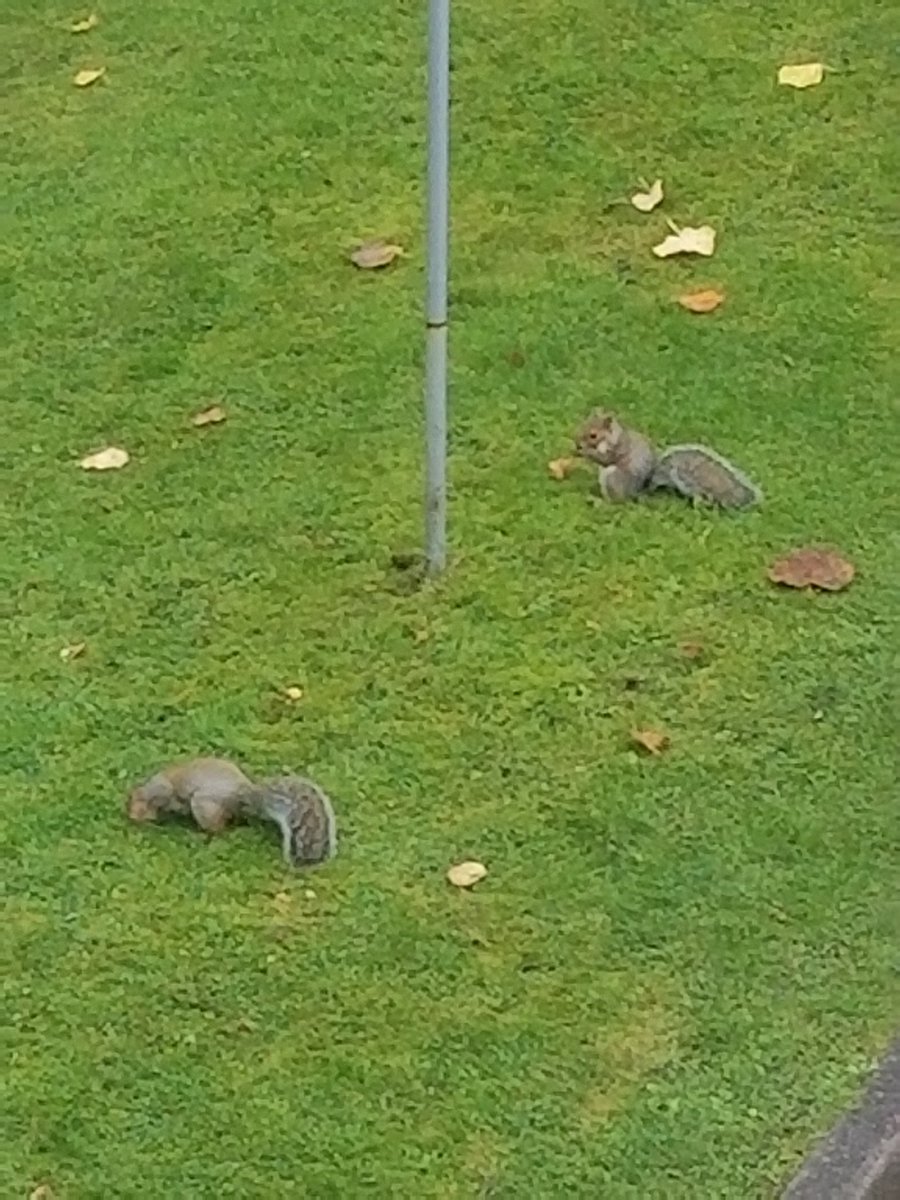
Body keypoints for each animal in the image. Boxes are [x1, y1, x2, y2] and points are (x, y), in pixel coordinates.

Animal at [126, 757, 337, 867]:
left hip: (203, 804)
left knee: (218, 829)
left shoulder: (165, 791)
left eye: (135, 804)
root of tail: (242, 793)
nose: (132, 818)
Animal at [575, 410, 762, 509]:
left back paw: (600, 501)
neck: (612, 437)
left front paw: (585, 452)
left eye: (593, 435)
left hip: (614, 478)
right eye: (582, 425)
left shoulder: (620, 447)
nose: (577, 443)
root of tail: (640, 492)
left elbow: (606, 458)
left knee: (617, 501)